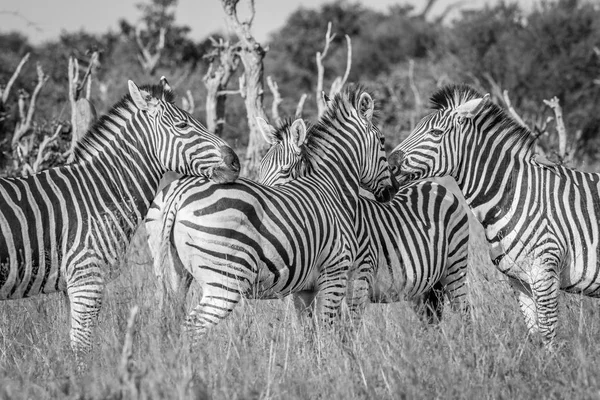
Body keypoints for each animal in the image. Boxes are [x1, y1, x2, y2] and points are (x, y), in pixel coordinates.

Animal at [0, 76, 239, 360]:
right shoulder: (87, 277)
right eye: (183, 125)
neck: (97, 191)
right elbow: (82, 346)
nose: (235, 161)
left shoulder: (74, 282)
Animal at [145, 85, 398, 344]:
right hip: (225, 281)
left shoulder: (304, 288)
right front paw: (334, 355)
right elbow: (327, 331)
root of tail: (178, 192)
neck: (330, 187)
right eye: (382, 141)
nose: (393, 190)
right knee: (192, 329)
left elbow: (306, 334)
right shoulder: (335, 272)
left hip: (174, 273)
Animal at [255, 117, 472, 324]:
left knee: (464, 311)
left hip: (455, 267)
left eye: (285, 170)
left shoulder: (354, 280)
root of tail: (434, 185)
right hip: (423, 285)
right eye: (260, 169)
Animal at [386, 84, 600, 346]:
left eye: (436, 133)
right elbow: (536, 334)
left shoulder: (545, 270)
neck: (515, 195)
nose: (390, 164)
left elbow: (549, 334)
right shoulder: (520, 280)